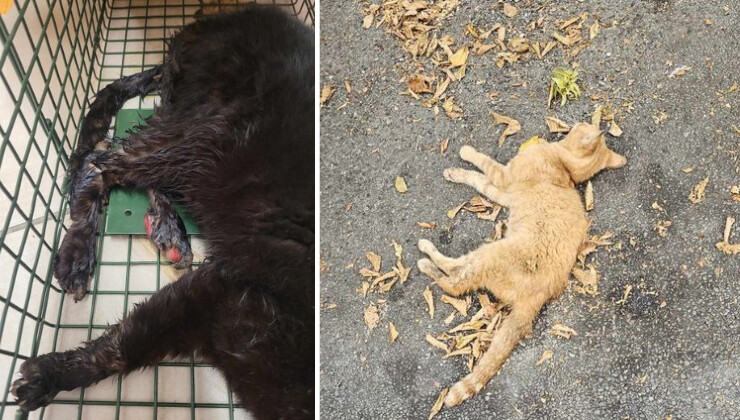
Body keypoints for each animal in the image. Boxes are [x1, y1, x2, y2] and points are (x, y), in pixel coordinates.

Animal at [416, 123, 624, 408]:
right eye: (587, 124)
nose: (579, 122)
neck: (564, 170)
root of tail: (539, 296)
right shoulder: (504, 194)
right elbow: (481, 181)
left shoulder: (503, 177)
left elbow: (479, 170)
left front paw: (462, 160)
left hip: (489, 253)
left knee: (453, 280)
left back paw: (426, 256)